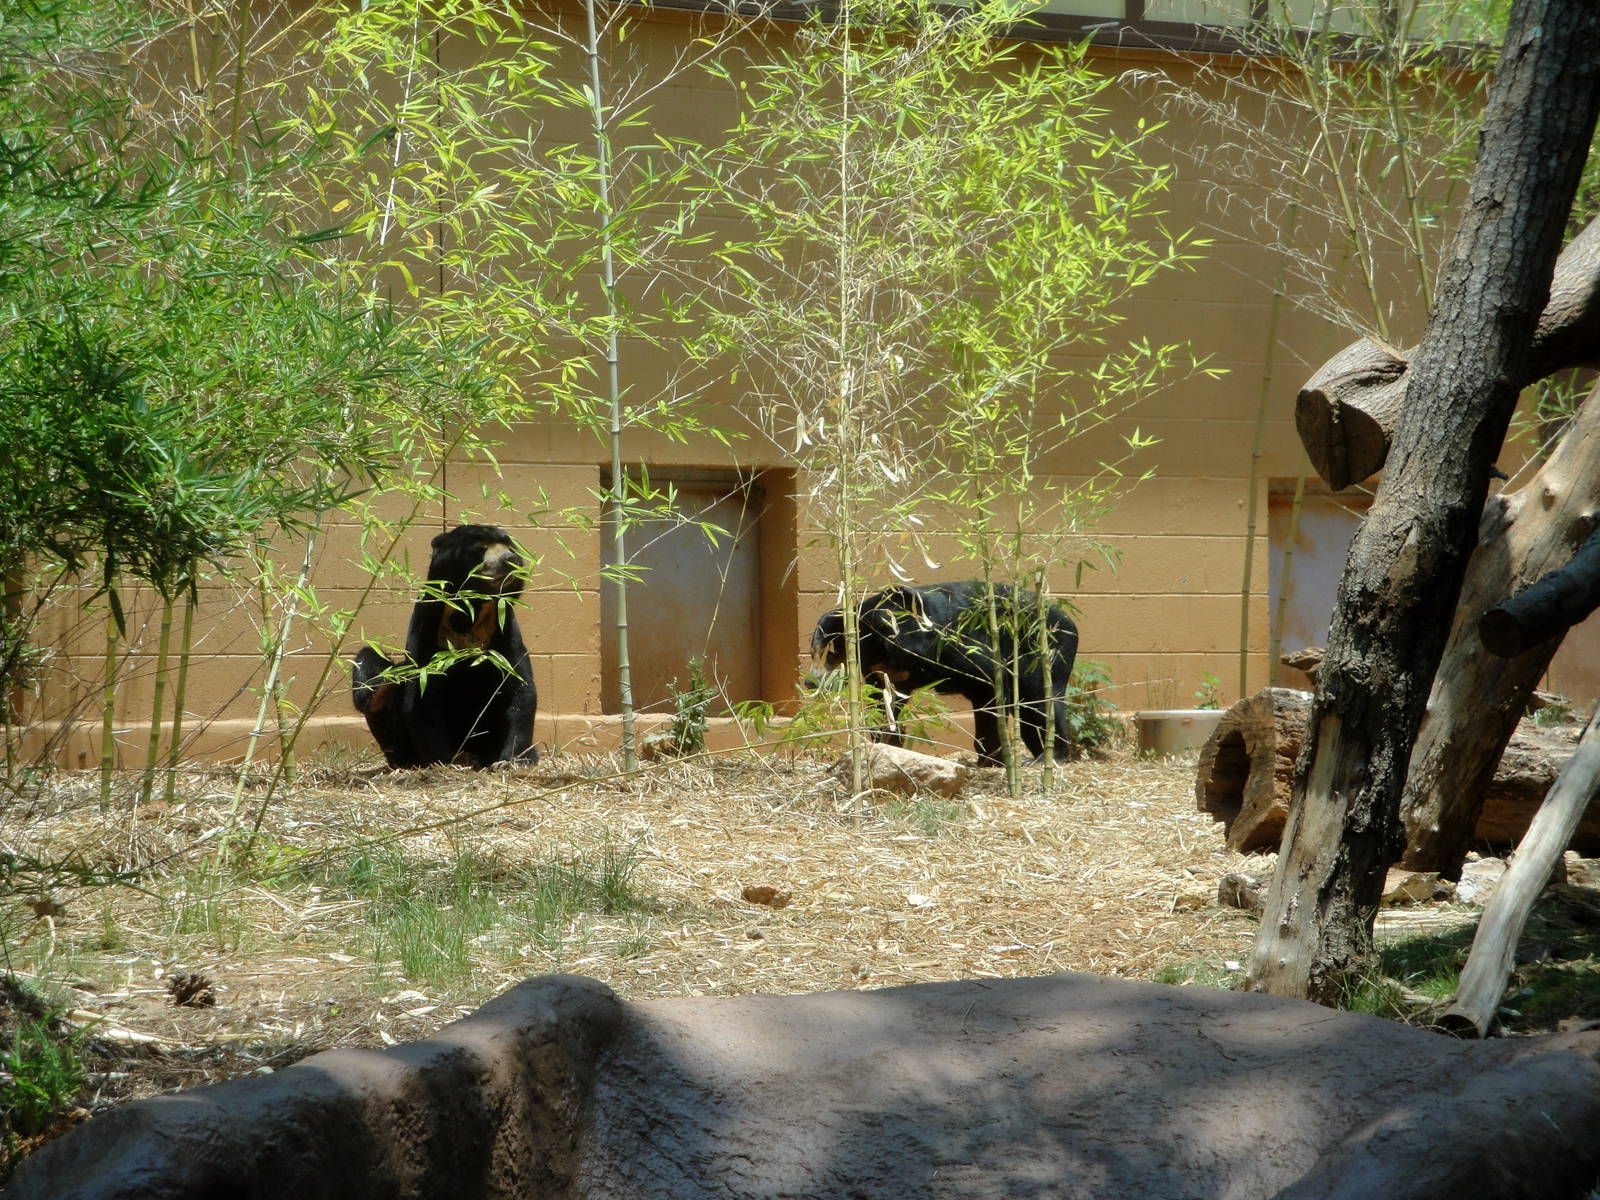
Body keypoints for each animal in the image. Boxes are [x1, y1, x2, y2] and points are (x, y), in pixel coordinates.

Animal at [352, 524, 539, 768]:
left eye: (510, 546)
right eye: (480, 548)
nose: (510, 559)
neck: (471, 608)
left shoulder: (504, 631)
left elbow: (520, 690)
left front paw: (511, 760)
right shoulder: (426, 631)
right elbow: (421, 699)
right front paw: (443, 763)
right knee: (372, 681)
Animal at [811, 581, 1079, 766]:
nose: (811, 681)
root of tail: (1070, 622)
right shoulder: (882, 674)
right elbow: (885, 704)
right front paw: (889, 744)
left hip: (1045, 653)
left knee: (1040, 702)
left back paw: (1046, 758)